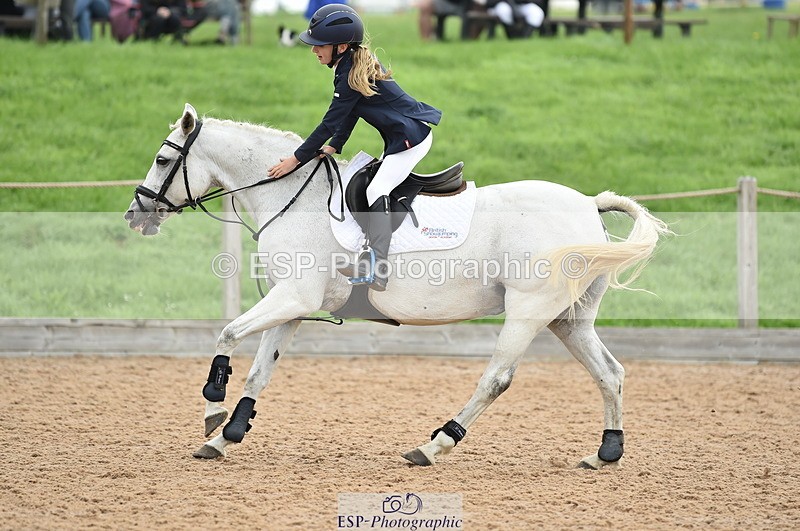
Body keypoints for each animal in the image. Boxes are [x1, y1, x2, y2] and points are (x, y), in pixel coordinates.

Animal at [125, 103, 670, 469]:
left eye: (161, 160)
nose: (136, 214)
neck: (291, 195)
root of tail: (588, 205)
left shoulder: (293, 297)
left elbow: (227, 334)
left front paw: (214, 410)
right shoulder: (293, 306)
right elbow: (261, 372)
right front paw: (228, 435)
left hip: (530, 310)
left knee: (497, 378)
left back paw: (434, 445)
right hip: (568, 319)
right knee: (610, 374)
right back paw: (606, 452)